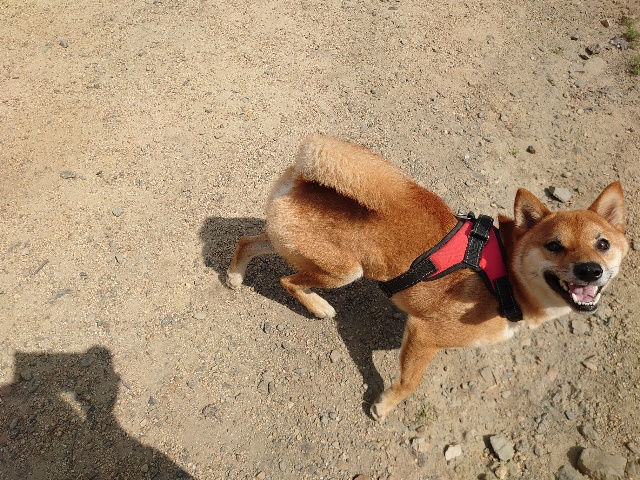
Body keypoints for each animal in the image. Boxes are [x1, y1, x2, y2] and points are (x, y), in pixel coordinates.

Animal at [226, 134, 628, 421]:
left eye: (603, 244)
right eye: (554, 246)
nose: (590, 269)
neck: (507, 276)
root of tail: (302, 179)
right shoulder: (425, 333)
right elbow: (409, 381)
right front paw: (385, 406)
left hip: (287, 241)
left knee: (248, 241)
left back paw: (234, 275)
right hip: (344, 271)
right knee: (288, 281)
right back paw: (319, 307)